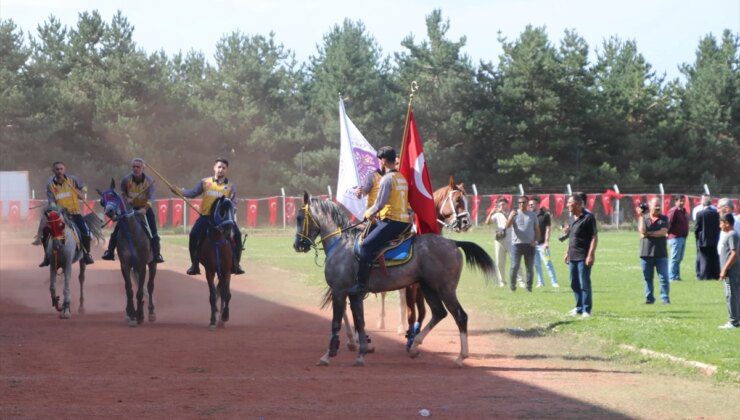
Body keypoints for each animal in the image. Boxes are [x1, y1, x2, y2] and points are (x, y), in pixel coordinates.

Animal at [98, 179, 158, 326]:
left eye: (114, 195)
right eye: (102, 201)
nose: (110, 211)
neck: (131, 231)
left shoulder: (142, 265)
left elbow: (141, 290)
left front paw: (140, 315)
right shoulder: (125, 265)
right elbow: (129, 289)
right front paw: (132, 314)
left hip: (152, 263)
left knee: (150, 286)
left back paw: (151, 312)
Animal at [292, 194, 494, 368]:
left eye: (300, 218)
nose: (297, 245)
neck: (341, 245)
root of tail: (453, 243)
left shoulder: (339, 291)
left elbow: (336, 322)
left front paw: (328, 355)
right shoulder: (354, 295)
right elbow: (360, 322)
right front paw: (361, 353)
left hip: (445, 289)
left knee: (460, 316)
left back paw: (460, 357)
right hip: (428, 288)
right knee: (439, 313)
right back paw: (414, 346)